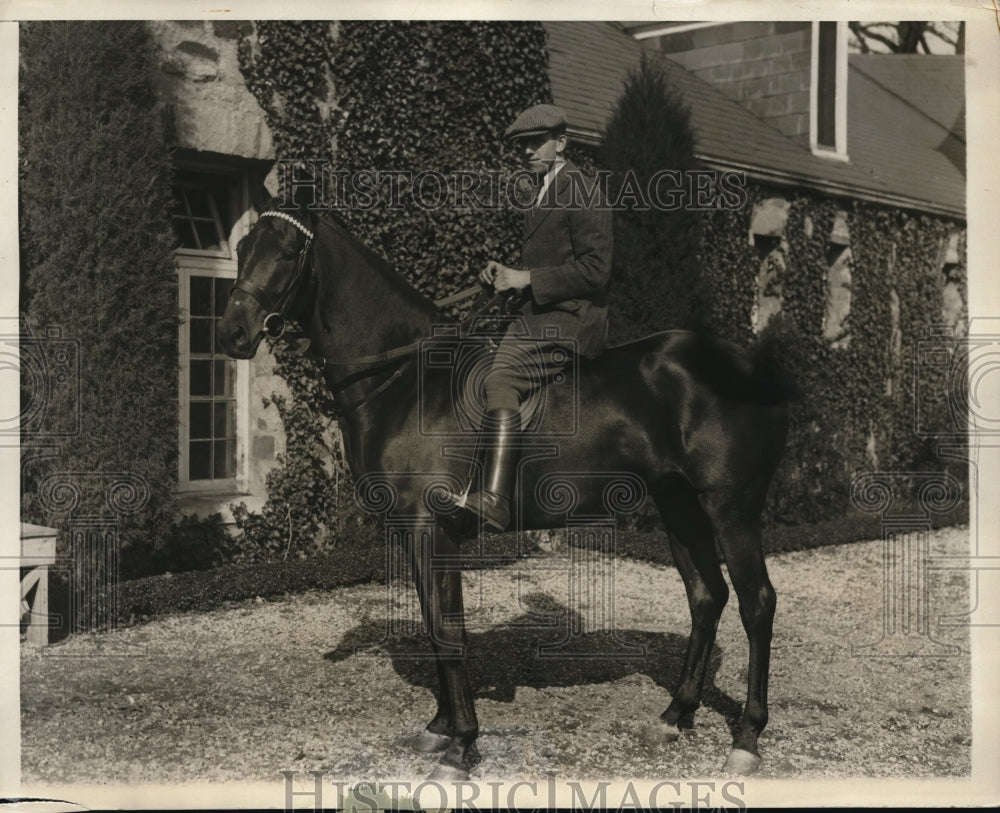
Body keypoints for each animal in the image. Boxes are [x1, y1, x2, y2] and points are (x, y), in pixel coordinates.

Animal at [217, 201, 788, 772]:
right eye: (241, 248)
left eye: (288, 252)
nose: (232, 333)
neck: (405, 378)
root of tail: (750, 366)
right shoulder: (409, 528)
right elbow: (433, 623)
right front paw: (440, 727)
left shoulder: (432, 529)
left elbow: (448, 630)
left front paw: (461, 744)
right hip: (679, 504)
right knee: (706, 596)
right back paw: (675, 715)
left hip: (729, 507)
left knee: (756, 602)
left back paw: (747, 738)